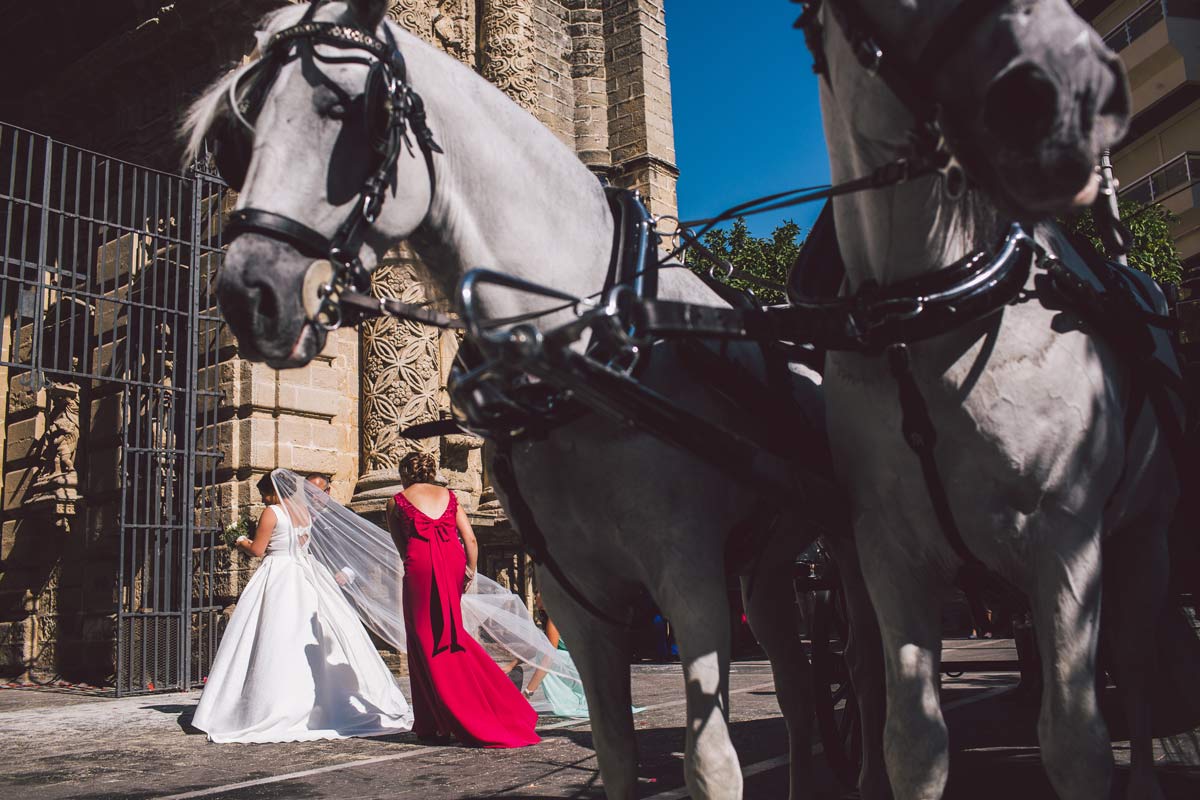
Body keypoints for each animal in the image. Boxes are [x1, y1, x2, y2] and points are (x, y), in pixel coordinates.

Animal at [182, 3, 888, 796]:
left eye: (348, 112)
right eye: (238, 140)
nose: (248, 291)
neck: (583, 350)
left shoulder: (691, 579)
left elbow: (712, 762)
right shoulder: (577, 596)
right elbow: (614, 752)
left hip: (849, 541)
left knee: (866, 668)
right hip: (767, 565)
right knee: (798, 688)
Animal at [811, 0, 1176, 796]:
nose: (1080, 91)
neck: (929, 311)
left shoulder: (1066, 536)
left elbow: (1075, 741)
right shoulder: (886, 552)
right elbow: (913, 740)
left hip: (1143, 534)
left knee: (1137, 664)